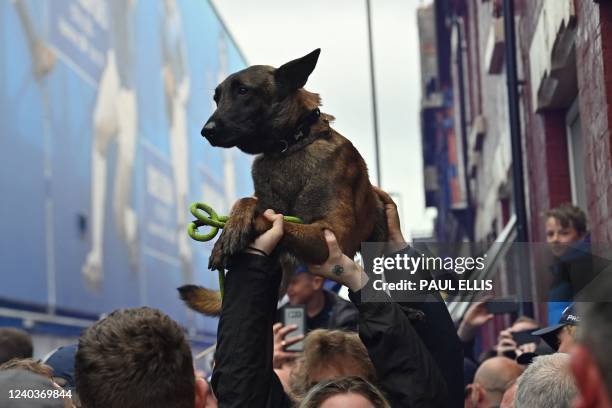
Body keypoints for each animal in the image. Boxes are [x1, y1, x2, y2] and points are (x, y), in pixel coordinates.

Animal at [178, 48, 388, 316]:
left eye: (243, 90)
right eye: (217, 98)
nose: (207, 131)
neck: (288, 147)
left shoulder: (334, 235)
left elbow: (273, 219)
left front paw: (228, 235)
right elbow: (248, 201)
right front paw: (235, 222)